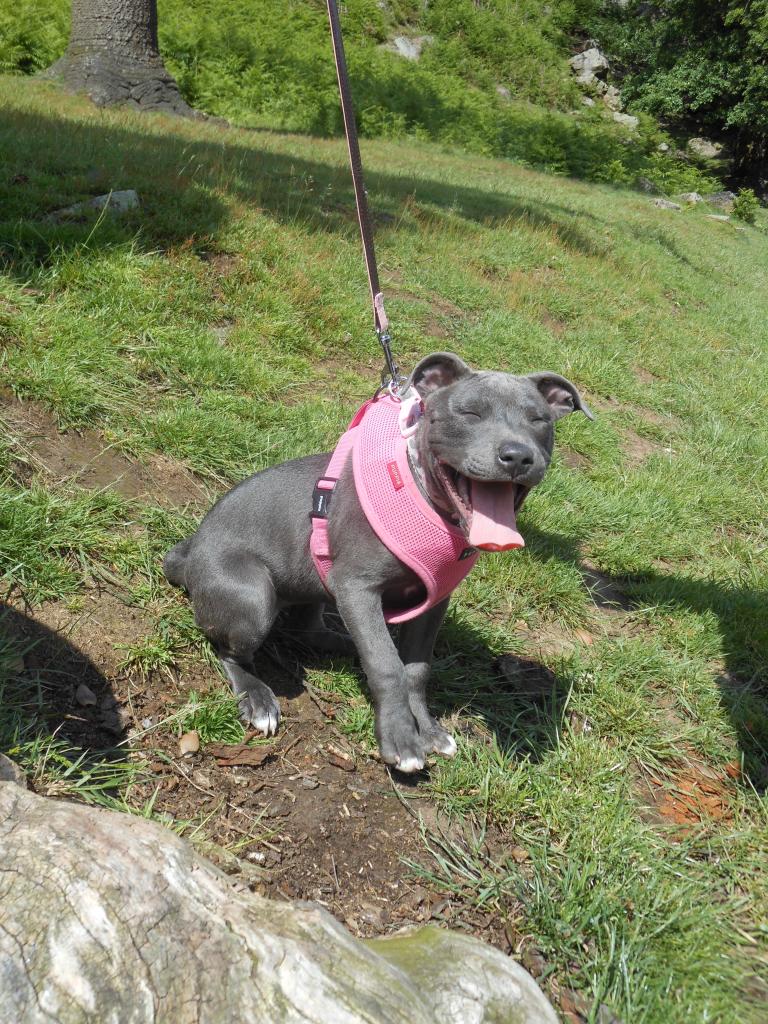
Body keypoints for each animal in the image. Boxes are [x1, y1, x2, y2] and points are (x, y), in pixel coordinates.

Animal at [163, 350, 593, 770]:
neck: (429, 501)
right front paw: (401, 738)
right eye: (470, 413)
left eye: (539, 421)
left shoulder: (432, 602)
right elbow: (387, 665)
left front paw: (427, 729)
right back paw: (256, 697)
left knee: (309, 630)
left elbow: (415, 669)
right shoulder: (359, 588)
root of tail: (189, 551)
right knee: (230, 650)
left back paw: (345, 646)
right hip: (253, 597)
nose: (517, 456)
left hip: (316, 584)